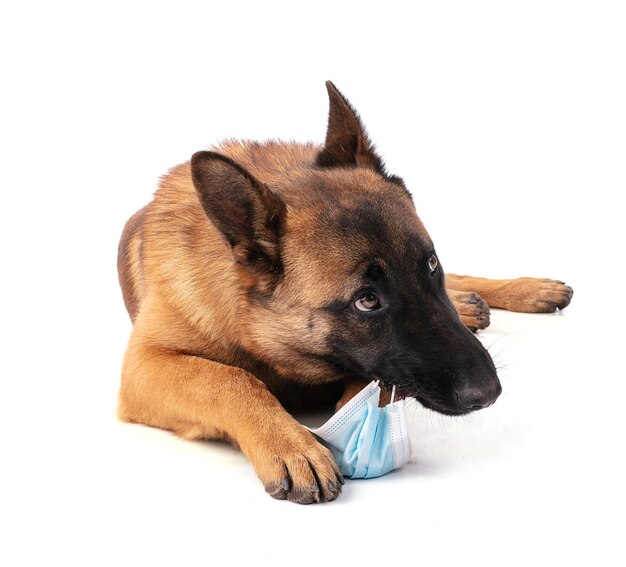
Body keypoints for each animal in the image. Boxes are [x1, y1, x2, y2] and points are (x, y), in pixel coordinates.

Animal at [116, 82, 572, 504]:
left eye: (429, 264)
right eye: (367, 300)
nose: (489, 393)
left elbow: (372, 380)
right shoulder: (144, 366)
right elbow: (230, 378)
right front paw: (291, 443)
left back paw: (519, 292)